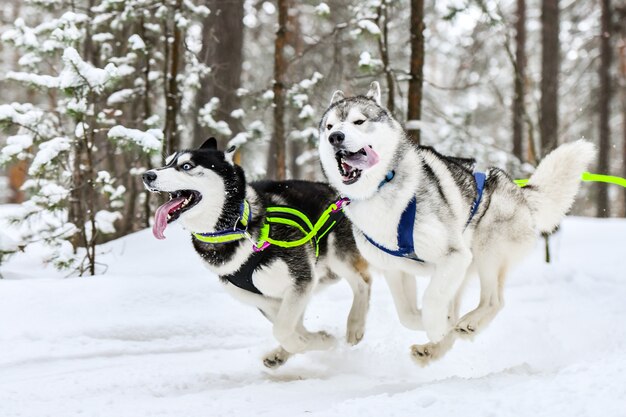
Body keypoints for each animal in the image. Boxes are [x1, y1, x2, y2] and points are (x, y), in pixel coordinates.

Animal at [141, 139, 370, 368]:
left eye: (187, 166)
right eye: (167, 162)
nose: (146, 175)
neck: (236, 227)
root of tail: (334, 189)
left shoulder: (301, 278)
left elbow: (282, 329)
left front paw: (318, 342)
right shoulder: (267, 298)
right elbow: (290, 325)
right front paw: (312, 340)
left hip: (336, 254)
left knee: (363, 282)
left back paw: (355, 325)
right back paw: (280, 354)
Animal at [316, 81, 596, 364]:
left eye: (359, 121)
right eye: (329, 126)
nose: (335, 137)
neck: (381, 191)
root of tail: (518, 189)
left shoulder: (454, 255)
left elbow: (431, 300)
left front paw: (437, 325)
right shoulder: (395, 269)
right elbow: (407, 314)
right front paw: (437, 326)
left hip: (485, 250)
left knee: (494, 301)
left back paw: (468, 323)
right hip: (464, 270)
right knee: (461, 306)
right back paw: (434, 347)